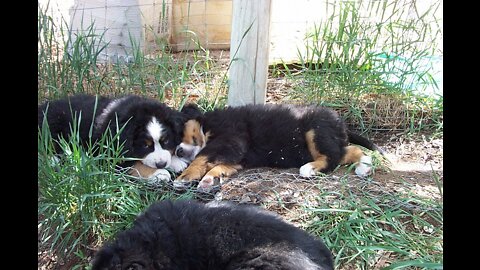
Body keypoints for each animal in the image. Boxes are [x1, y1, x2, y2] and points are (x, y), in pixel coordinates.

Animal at [174, 102, 384, 191]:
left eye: (177, 132)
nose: (178, 151)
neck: (207, 125)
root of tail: (342, 124)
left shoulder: (231, 138)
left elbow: (202, 156)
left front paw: (184, 177)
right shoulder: (237, 157)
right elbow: (218, 165)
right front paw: (210, 180)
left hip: (316, 128)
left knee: (332, 157)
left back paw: (310, 169)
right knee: (347, 151)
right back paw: (364, 166)